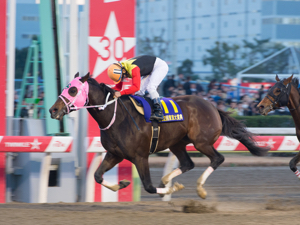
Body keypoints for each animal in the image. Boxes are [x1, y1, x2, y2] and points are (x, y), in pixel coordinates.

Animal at [50, 72, 268, 199]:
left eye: (72, 89)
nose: (53, 110)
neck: (117, 117)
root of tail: (213, 105)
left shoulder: (140, 156)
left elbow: (148, 186)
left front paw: (171, 190)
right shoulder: (115, 154)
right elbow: (97, 176)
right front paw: (122, 183)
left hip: (201, 142)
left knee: (217, 158)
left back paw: (199, 188)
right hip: (177, 143)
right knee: (187, 163)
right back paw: (167, 179)